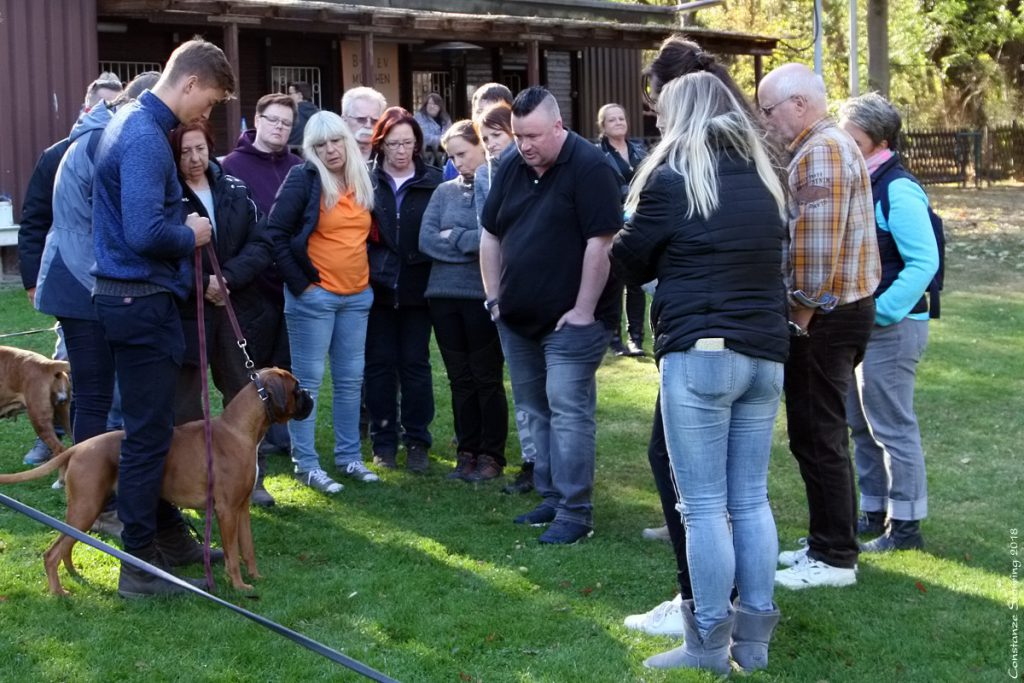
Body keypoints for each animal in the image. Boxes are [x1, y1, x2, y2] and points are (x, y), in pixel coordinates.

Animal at [0, 366, 311, 593]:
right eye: (296, 388)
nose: (309, 395)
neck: (238, 429)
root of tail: (79, 447)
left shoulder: (241, 508)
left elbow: (248, 548)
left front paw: (255, 577)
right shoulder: (225, 512)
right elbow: (233, 554)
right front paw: (239, 586)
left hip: (85, 510)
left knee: (66, 546)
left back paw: (74, 575)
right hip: (85, 509)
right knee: (51, 553)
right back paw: (59, 593)